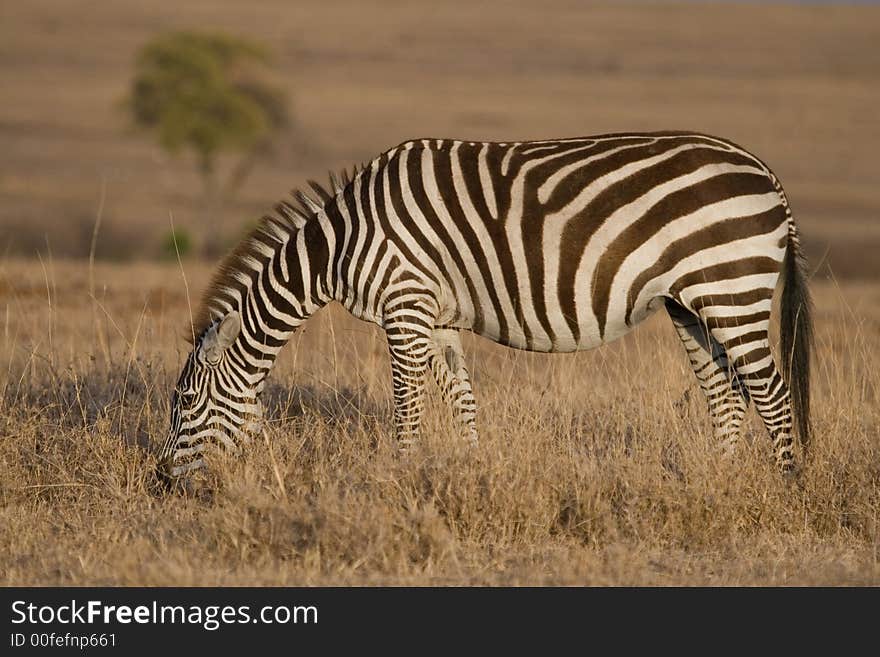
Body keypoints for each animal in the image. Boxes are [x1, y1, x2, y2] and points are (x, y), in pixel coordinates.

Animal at [158, 131, 812, 480]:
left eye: (185, 402)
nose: (161, 481)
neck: (342, 244)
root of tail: (768, 174)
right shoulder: (437, 316)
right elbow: (461, 400)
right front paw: (465, 476)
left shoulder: (405, 304)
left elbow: (407, 403)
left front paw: (400, 476)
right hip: (692, 303)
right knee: (726, 392)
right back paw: (723, 480)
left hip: (732, 286)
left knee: (774, 395)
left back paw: (787, 491)